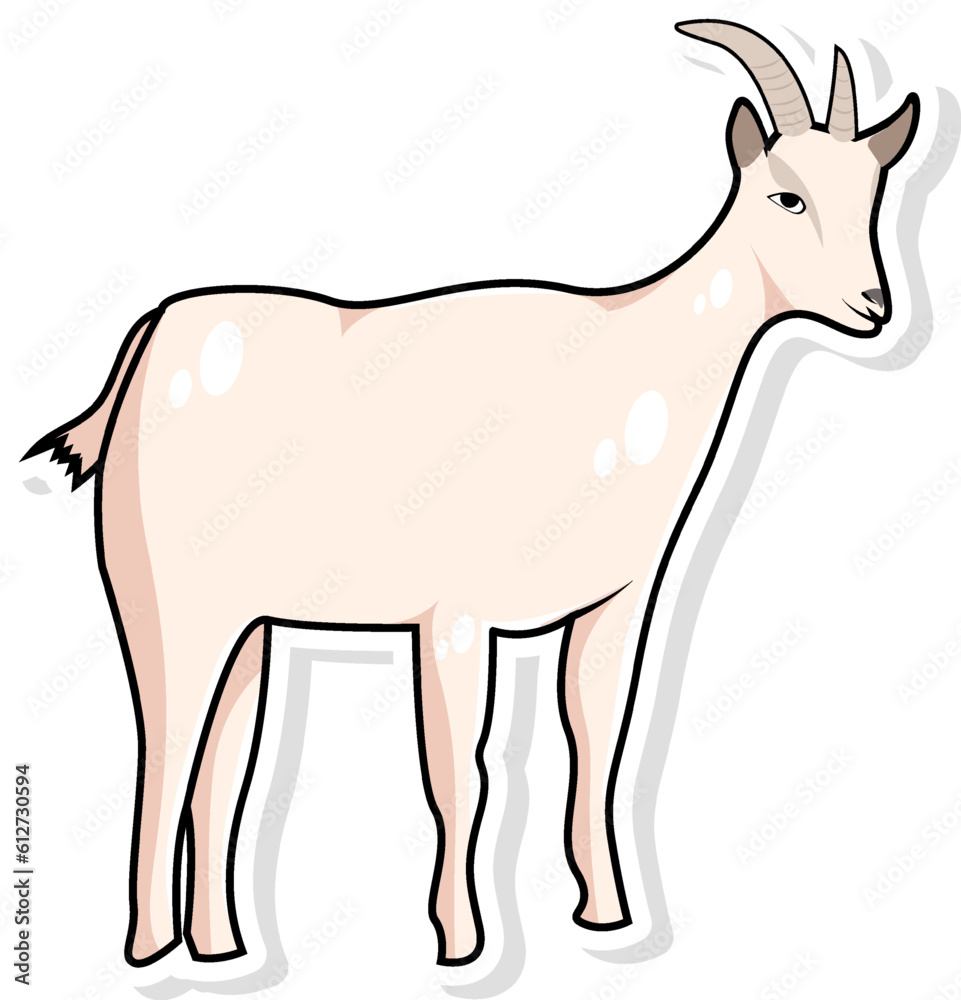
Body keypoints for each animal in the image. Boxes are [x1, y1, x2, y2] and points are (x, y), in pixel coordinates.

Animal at [24, 19, 919, 971]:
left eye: (873, 193)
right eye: (785, 196)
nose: (873, 307)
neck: (631, 356)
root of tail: (147, 340)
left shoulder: (613, 604)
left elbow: (597, 744)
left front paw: (606, 916)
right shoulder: (453, 617)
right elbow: (462, 774)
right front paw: (461, 943)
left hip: (250, 622)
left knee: (220, 768)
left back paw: (223, 947)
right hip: (163, 597)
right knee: (164, 746)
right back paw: (151, 949)